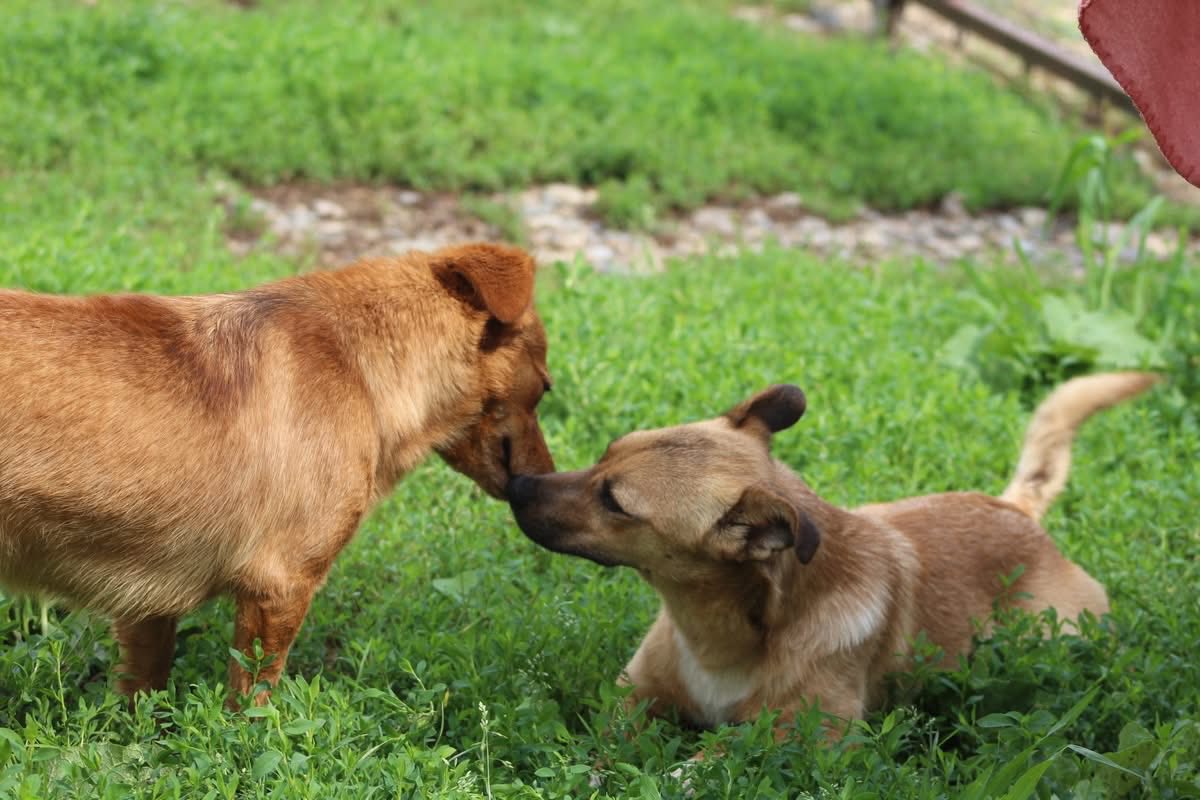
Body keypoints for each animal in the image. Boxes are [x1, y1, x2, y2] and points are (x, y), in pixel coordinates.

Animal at [0, 242, 555, 705]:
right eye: (546, 387)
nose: (544, 481)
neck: (359, 364)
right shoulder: (282, 586)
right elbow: (252, 703)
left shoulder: (148, 605)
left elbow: (143, 695)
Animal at [507, 372, 1157, 736]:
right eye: (605, 453)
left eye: (613, 501)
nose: (515, 484)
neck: (723, 633)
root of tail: (1015, 512)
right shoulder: (633, 698)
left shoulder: (808, 736)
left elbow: (709, 759)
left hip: (1058, 637)